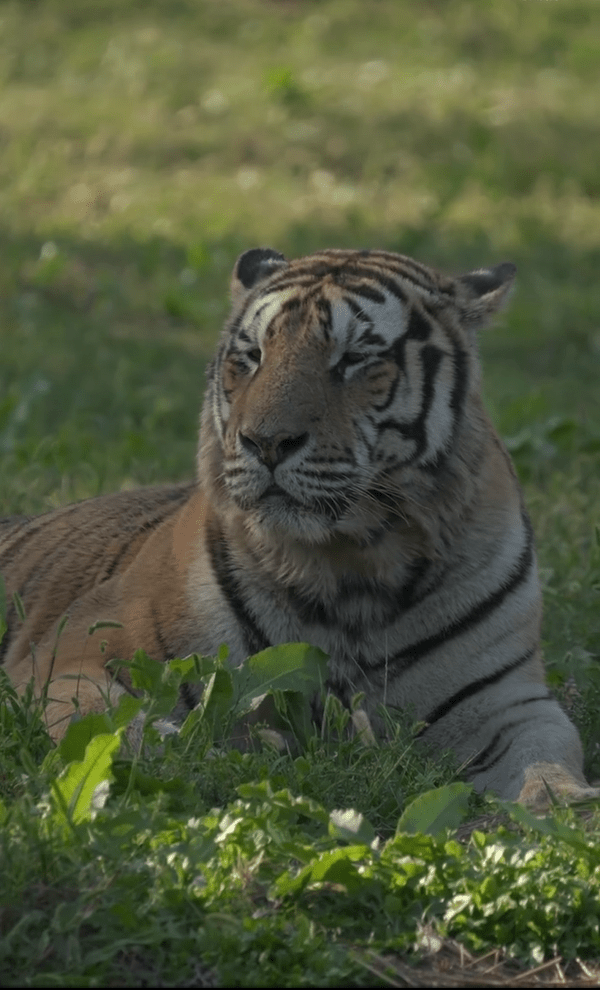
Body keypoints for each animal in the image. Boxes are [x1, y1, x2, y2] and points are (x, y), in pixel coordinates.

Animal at [1, 245, 598, 808]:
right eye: (252, 357)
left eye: (353, 359)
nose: (266, 442)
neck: (352, 568)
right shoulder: (72, 653)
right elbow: (106, 725)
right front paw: (179, 758)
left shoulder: (506, 701)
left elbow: (546, 754)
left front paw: (562, 806)